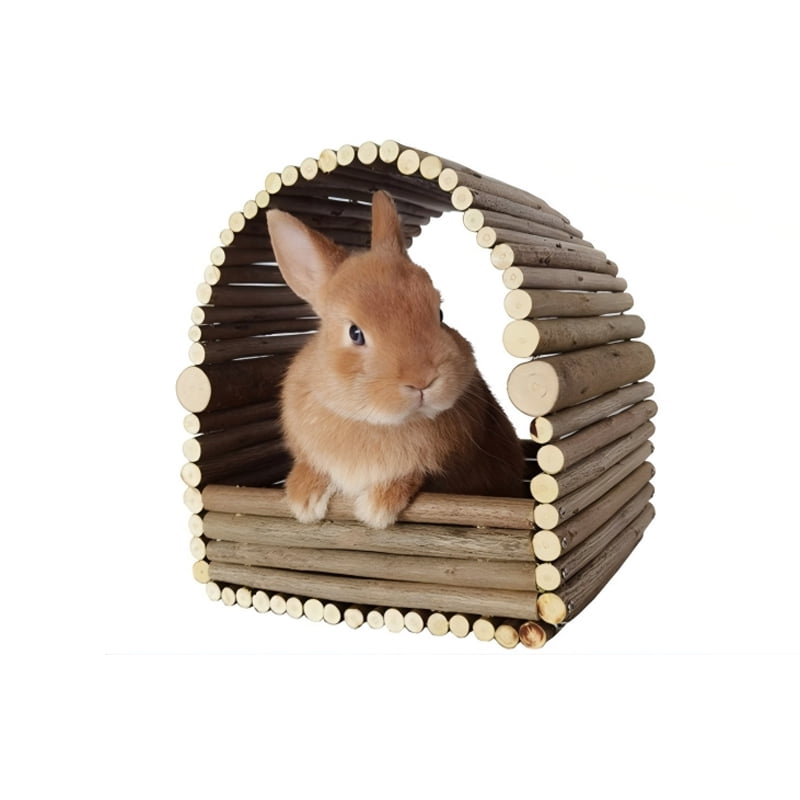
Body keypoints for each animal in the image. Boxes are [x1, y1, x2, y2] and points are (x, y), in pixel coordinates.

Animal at [266, 190, 526, 529]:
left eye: (440, 314)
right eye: (355, 333)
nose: (422, 381)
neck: (374, 421)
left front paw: (377, 508)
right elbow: (310, 466)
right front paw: (303, 500)